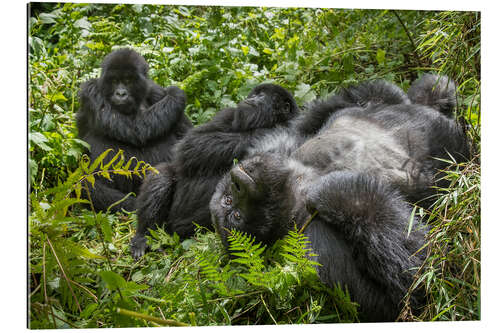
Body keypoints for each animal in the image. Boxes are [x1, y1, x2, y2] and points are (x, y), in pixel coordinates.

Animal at [76, 48, 191, 211]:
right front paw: (176, 95)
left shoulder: (156, 91)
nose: (121, 94)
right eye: (114, 81)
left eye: (128, 81)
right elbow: (134, 129)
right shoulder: (90, 90)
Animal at [131, 82, 298, 256]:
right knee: (163, 176)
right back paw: (143, 235)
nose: (251, 99)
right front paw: (263, 133)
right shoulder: (229, 113)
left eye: (262, 96)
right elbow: (192, 143)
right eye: (256, 94)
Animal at [210, 74, 468, 320]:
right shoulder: (317, 246)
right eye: (235, 214)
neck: (296, 184)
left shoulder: (282, 146)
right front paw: (335, 190)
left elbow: (311, 118)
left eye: (227, 197)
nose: (237, 183)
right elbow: (412, 287)